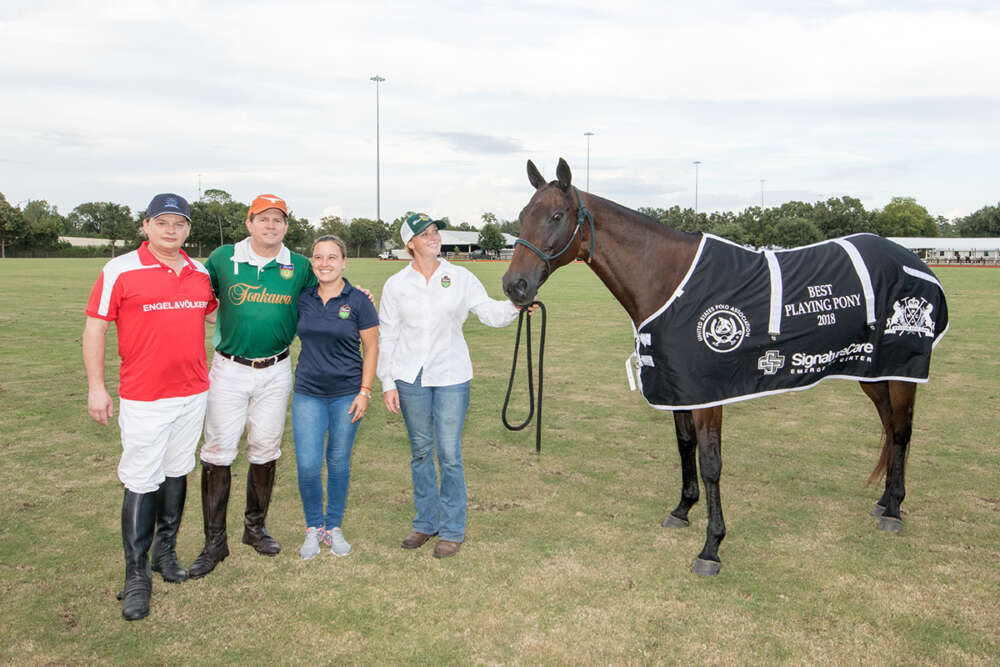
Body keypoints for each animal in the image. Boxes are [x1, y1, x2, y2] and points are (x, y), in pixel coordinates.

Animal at [500, 159, 944, 576]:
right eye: (523, 213)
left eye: (557, 216)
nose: (515, 285)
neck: (671, 281)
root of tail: (914, 261)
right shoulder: (678, 386)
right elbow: (685, 445)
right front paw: (682, 509)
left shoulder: (708, 394)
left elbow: (711, 462)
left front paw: (711, 547)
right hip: (873, 373)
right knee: (889, 425)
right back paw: (884, 500)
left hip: (902, 371)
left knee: (901, 431)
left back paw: (894, 510)